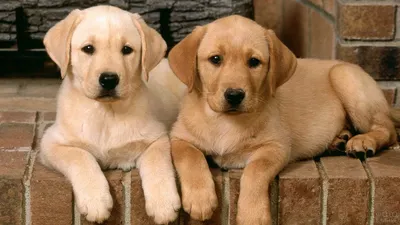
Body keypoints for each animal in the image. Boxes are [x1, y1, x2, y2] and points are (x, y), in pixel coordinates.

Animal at [40, 4, 184, 223]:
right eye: (88, 49)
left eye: (126, 50)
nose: (109, 79)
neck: (105, 114)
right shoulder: (52, 143)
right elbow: (80, 156)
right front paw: (95, 200)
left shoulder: (157, 138)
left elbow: (158, 163)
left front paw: (163, 203)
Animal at [167, 14, 398, 224]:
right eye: (215, 59)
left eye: (254, 62)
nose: (234, 95)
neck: (225, 120)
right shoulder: (179, 138)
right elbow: (190, 156)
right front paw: (200, 199)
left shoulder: (276, 146)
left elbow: (255, 171)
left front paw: (253, 216)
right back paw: (338, 140)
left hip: (346, 79)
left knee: (388, 130)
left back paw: (363, 141)